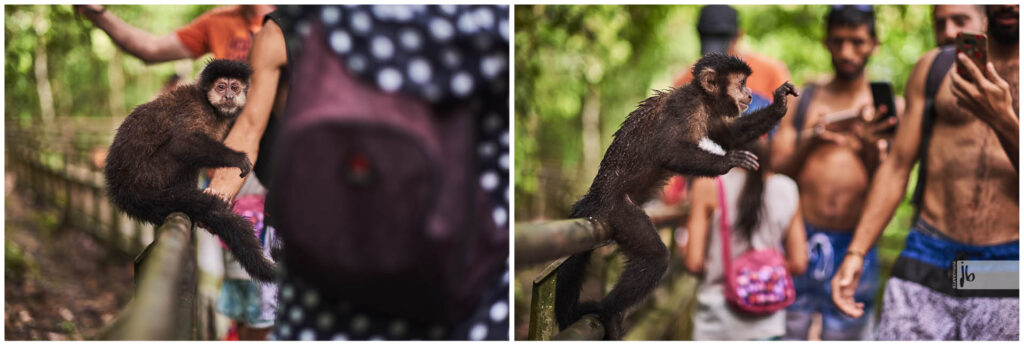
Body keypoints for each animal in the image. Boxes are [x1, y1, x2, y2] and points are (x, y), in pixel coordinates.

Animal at [103, 59, 276, 282]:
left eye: (235, 87)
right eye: (221, 87)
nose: (229, 97)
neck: (210, 108)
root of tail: (124, 189)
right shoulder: (194, 109)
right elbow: (182, 144)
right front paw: (236, 158)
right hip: (152, 175)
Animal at [552, 54, 798, 339]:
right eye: (741, 83)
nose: (748, 94)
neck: (703, 99)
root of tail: (596, 195)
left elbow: (729, 135)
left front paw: (779, 104)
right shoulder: (685, 107)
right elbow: (669, 152)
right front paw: (728, 161)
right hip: (615, 209)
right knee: (655, 258)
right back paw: (606, 311)